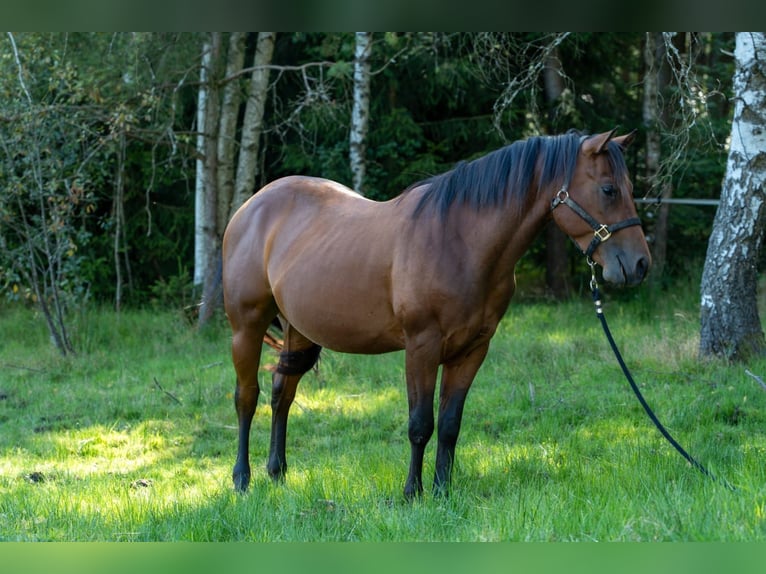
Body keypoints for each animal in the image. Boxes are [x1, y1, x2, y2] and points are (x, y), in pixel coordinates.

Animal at [224, 128, 656, 498]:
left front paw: (442, 492)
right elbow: (420, 424)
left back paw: (277, 473)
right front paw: (411, 493)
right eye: (608, 189)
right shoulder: (422, 348)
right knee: (247, 397)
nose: (640, 265)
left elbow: (449, 425)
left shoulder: (472, 350)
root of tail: (250, 207)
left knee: (282, 393)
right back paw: (242, 479)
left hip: (300, 329)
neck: (460, 242)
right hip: (246, 326)